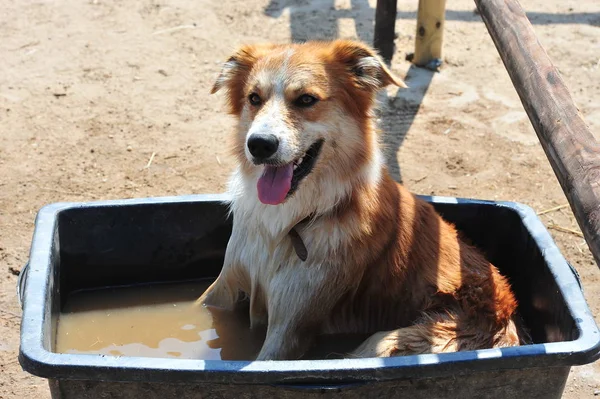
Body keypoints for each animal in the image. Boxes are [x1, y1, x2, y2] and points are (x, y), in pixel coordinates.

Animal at [199, 39, 524, 360]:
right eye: (254, 98)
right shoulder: (223, 287)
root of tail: (510, 314)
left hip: (386, 342)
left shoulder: (290, 326)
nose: (259, 144)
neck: (288, 222)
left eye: (306, 100)